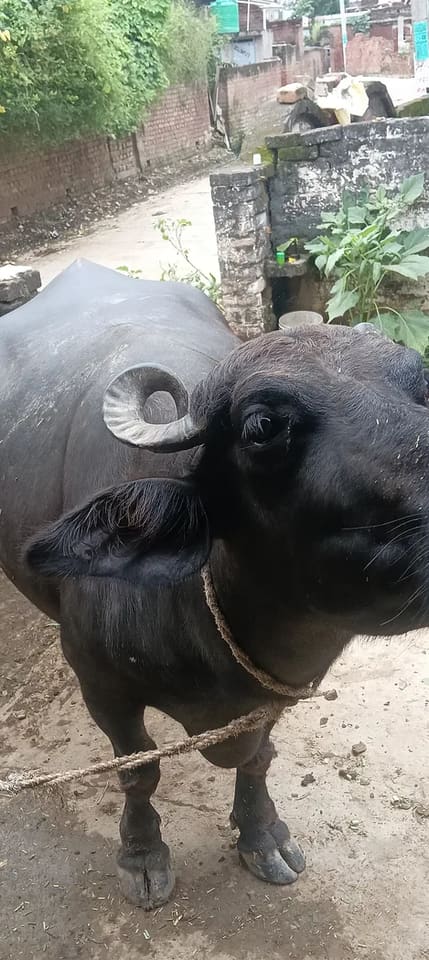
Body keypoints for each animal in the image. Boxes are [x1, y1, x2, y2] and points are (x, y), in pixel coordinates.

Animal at [1, 259, 428, 909]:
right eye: (262, 425)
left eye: (423, 386)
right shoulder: (99, 683)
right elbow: (138, 771)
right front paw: (142, 854)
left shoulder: (280, 690)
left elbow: (259, 758)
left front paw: (261, 833)